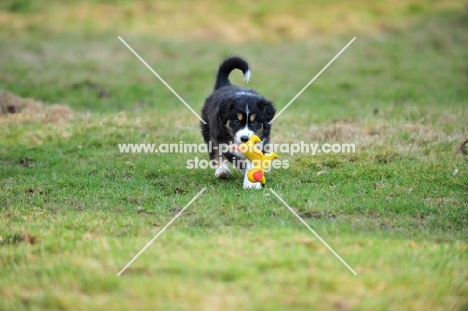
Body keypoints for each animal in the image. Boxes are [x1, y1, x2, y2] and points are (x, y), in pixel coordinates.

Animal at [200, 56, 274, 189]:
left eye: (254, 122)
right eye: (236, 121)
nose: (244, 138)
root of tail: (224, 85)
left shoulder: (262, 140)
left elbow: (253, 159)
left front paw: (252, 183)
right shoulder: (222, 141)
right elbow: (235, 158)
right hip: (208, 131)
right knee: (215, 154)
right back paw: (222, 171)